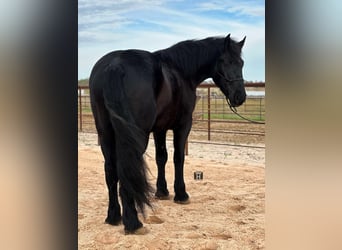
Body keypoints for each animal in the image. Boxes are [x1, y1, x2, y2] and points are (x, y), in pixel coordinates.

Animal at [89, 34, 247, 233]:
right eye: (226, 61)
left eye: (241, 63)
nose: (240, 97)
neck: (180, 71)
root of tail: (115, 66)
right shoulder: (183, 125)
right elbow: (178, 158)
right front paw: (181, 194)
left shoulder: (160, 128)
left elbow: (161, 157)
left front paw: (162, 192)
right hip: (136, 136)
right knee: (128, 169)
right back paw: (132, 222)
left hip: (106, 134)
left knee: (110, 170)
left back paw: (113, 216)